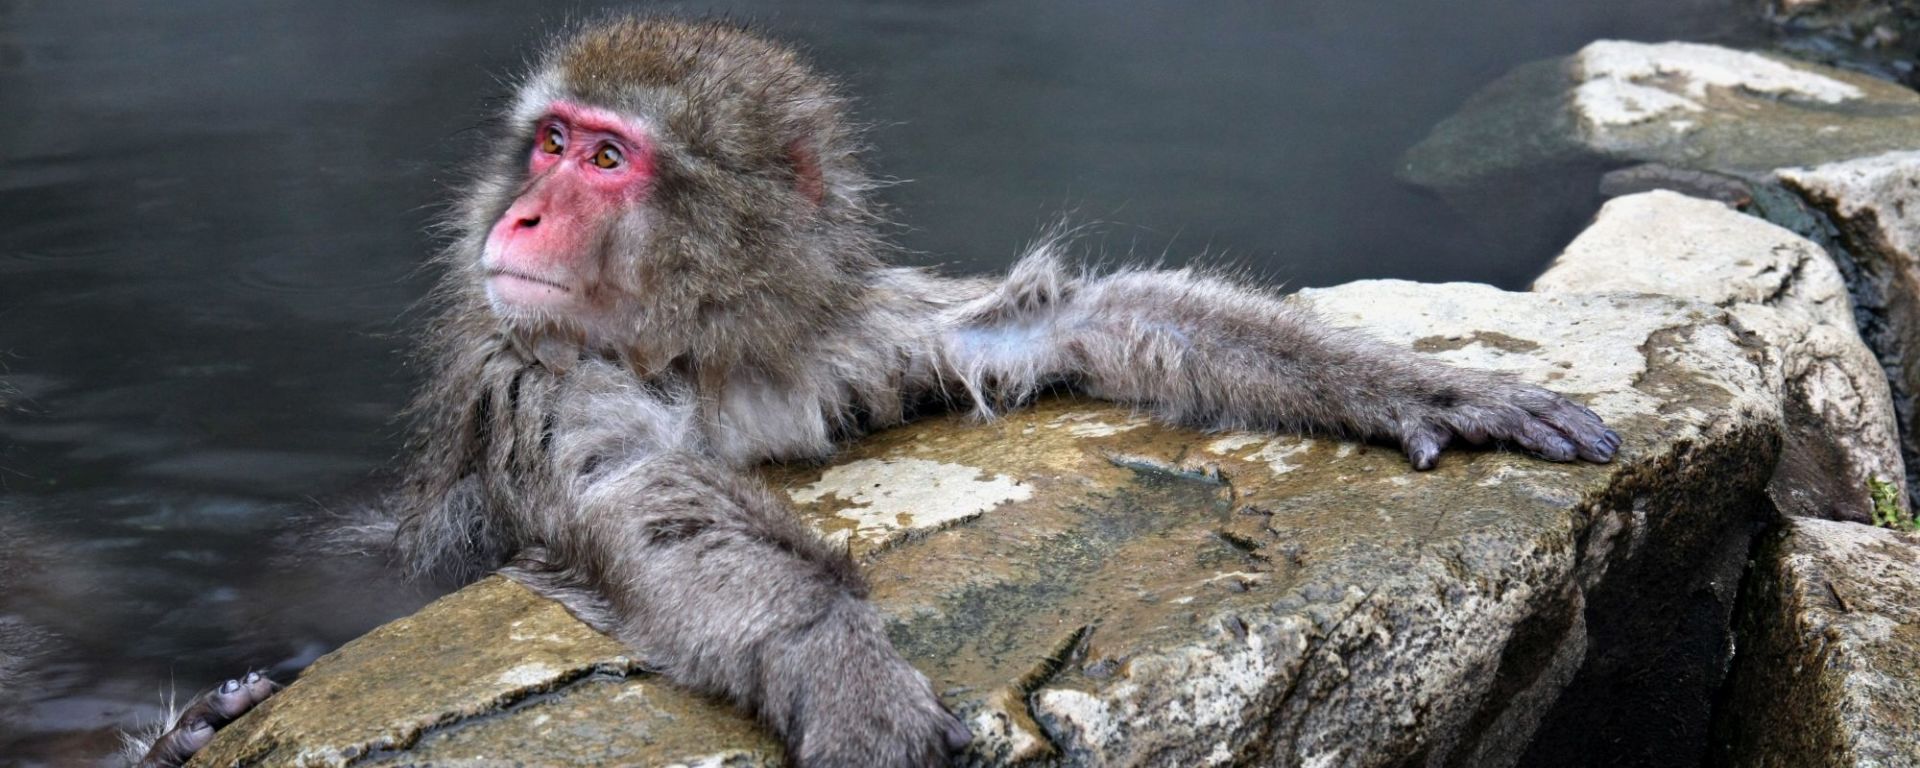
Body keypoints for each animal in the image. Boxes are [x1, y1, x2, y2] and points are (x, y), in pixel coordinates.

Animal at [136, 16, 1618, 768]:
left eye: (607, 159)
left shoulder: (837, 335)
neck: (698, 351)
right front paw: (834, 665)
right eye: (549, 143)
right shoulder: (538, 373)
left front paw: (1410, 385)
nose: (524, 218)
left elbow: (1062, 321)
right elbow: (642, 501)